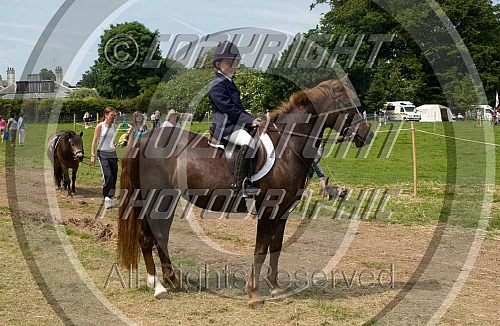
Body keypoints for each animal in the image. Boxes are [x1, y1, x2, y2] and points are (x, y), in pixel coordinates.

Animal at [119, 76, 374, 306]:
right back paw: (159, 287)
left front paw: (275, 287)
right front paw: (254, 294)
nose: (367, 134)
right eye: (347, 104)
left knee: (160, 236)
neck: (287, 146)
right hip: (154, 200)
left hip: (167, 201)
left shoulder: (283, 211)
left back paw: (172, 280)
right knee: (147, 238)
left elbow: (276, 246)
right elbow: (261, 248)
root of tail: (141, 141)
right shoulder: (268, 210)